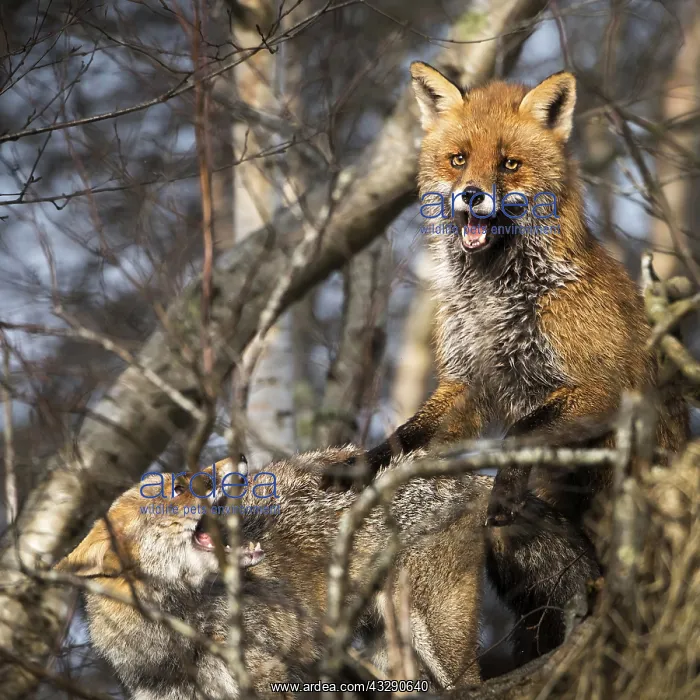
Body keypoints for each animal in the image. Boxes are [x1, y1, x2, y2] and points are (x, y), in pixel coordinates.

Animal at [55, 449, 599, 696]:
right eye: (183, 487)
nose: (239, 457)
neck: (178, 635)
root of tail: (475, 475)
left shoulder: (269, 679)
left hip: (435, 637)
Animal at [321, 61, 688, 535]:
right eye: (459, 159)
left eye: (509, 163)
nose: (472, 194)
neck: (492, 297)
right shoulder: (467, 382)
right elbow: (404, 435)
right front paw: (362, 464)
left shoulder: (602, 388)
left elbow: (522, 433)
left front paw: (505, 494)